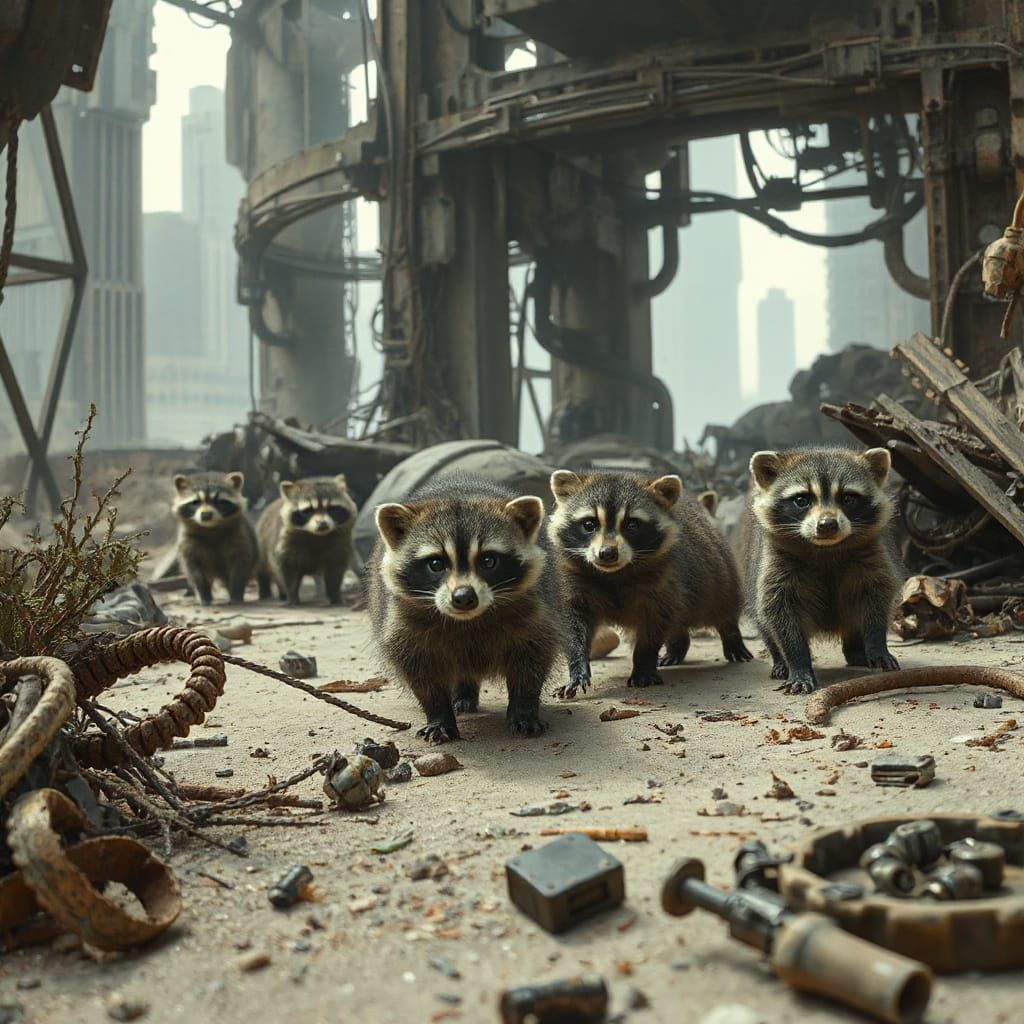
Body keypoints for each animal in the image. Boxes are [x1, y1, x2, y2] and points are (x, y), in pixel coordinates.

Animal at [172, 472, 259, 605]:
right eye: (196, 502)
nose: (206, 515)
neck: (210, 528)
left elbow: (240, 565)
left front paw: (236, 592)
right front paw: (203, 593)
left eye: (219, 501)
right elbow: (195, 569)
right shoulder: (189, 542)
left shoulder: (240, 536)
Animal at [256, 475, 357, 605]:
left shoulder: (340, 543)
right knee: (263, 568)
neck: (315, 535)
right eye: (308, 510)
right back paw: (269, 590)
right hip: (261, 542)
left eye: (331, 509)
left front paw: (335, 595)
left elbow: (335, 571)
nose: (322, 524)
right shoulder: (285, 543)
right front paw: (291, 595)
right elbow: (288, 571)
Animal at [366, 475, 562, 743]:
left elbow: (532, 659)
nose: (463, 597)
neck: (467, 619)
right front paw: (438, 713)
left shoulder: (535, 610)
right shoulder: (404, 624)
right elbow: (421, 672)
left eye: (488, 561)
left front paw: (524, 707)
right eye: (436, 563)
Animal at [549, 471, 751, 699]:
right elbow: (574, 623)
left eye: (632, 524)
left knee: (721, 605)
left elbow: (653, 625)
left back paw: (731, 635)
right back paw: (677, 644)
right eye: (589, 524)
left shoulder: (665, 579)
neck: (614, 573)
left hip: (718, 575)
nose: (607, 553)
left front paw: (644, 663)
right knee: (678, 621)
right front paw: (577, 667)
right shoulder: (574, 578)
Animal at [741, 446, 903, 695]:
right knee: (764, 619)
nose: (827, 525)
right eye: (801, 500)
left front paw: (877, 644)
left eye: (847, 498)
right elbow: (779, 610)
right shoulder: (774, 563)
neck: (825, 548)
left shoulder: (874, 554)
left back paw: (856, 647)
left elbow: (877, 597)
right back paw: (780, 660)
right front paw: (798, 663)